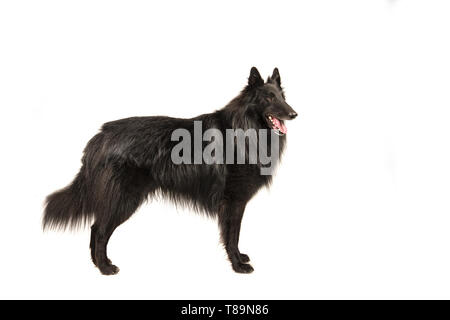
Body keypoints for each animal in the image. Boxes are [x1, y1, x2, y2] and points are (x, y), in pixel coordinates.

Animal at [41, 67, 296, 276]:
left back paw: (98, 264)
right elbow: (232, 235)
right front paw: (238, 265)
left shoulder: (236, 203)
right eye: (269, 97)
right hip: (124, 199)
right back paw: (105, 268)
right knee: (101, 230)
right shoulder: (233, 201)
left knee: (96, 228)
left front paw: (240, 258)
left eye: (282, 97)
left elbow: (234, 234)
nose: (294, 114)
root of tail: (101, 136)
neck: (244, 131)